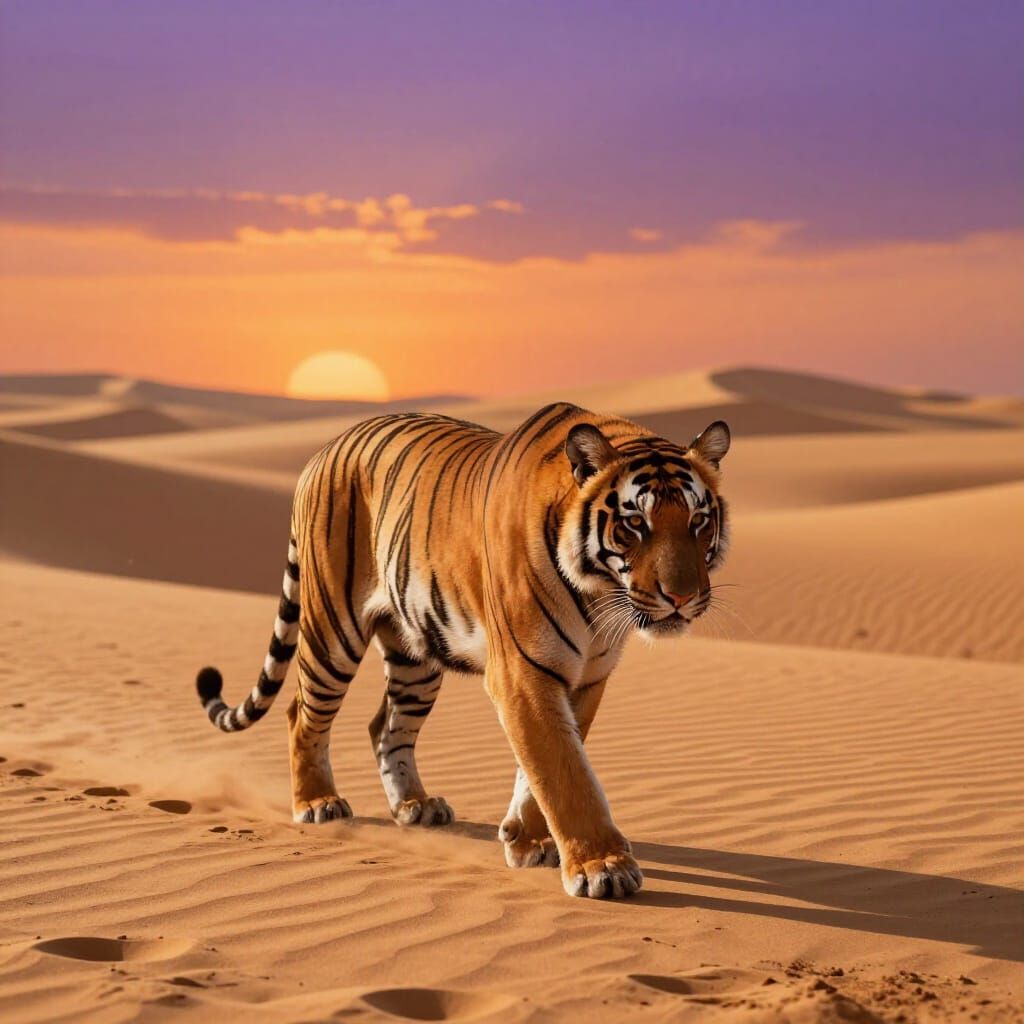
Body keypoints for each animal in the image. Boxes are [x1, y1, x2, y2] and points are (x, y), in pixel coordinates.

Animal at [195, 402, 730, 899]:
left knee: (386, 727)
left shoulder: (585, 678)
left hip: (415, 654)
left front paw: (525, 840)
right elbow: (566, 773)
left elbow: (543, 768)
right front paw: (603, 868)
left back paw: (415, 806)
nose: (681, 597)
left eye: (698, 521)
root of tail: (325, 449)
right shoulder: (522, 673)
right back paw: (317, 804)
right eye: (635, 522)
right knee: (301, 714)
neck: (601, 595)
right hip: (333, 630)